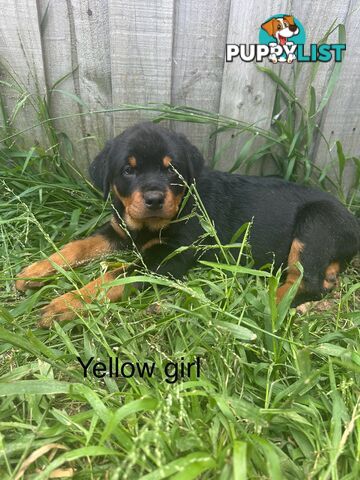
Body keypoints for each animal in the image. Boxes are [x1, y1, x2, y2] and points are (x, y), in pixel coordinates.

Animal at [16, 122, 360, 328]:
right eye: (128, 171)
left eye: (172, 170)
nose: (154, 198)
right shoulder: (120, 230)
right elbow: (78, 246)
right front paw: (35, 271)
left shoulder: (168, 258)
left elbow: (115, 277)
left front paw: (65, 303)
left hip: (316, 222)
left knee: (305, 279)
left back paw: (268, 307)